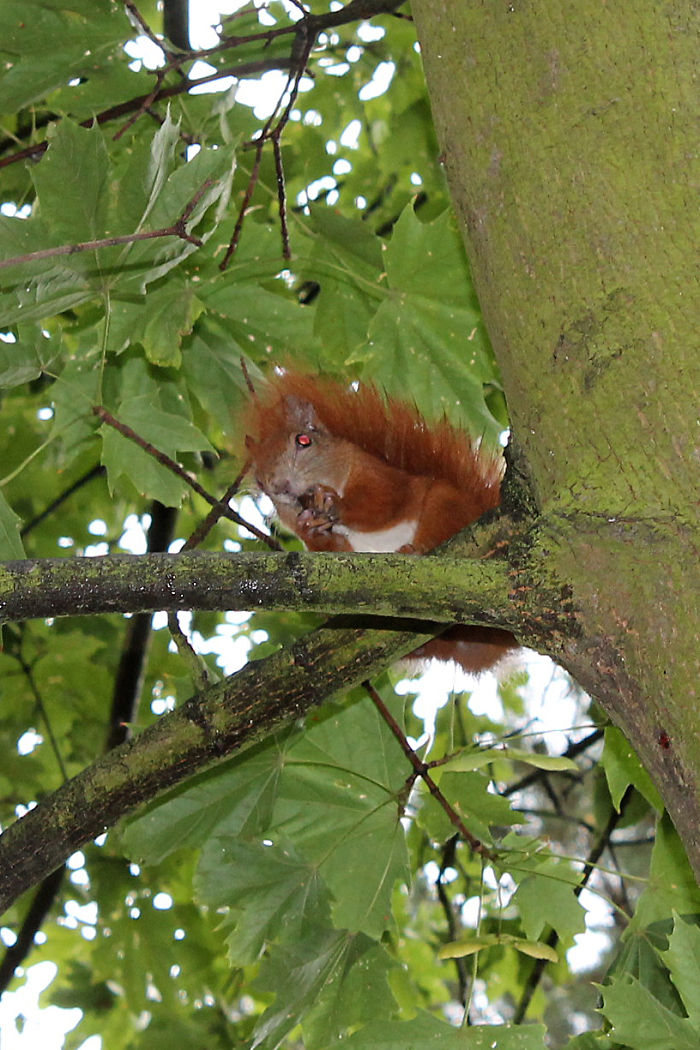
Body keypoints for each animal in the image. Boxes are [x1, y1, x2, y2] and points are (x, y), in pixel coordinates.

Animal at [243, 368, 515, 673]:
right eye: (259, 481)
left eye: (303, 441)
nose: (279, 485)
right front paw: (312, 527)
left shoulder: (383, 478)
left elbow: (383, 504)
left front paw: (334, 504)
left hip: (448, 505)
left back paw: (416, 549)